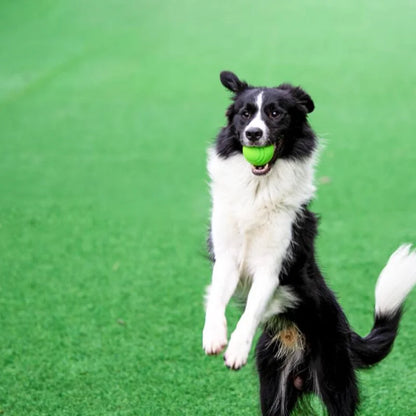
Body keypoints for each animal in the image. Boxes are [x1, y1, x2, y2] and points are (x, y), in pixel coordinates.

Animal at [202, 71, 416, 416]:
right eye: (244, 114)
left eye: (276, 113)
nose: (252, 134)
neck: (258, 189)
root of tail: (347, 333)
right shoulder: (227, 257)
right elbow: (217, 299)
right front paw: (214, 336)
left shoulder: (273, 267)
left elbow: (252, 309)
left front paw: (236, 349)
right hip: (273, 383)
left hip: (333, 377)